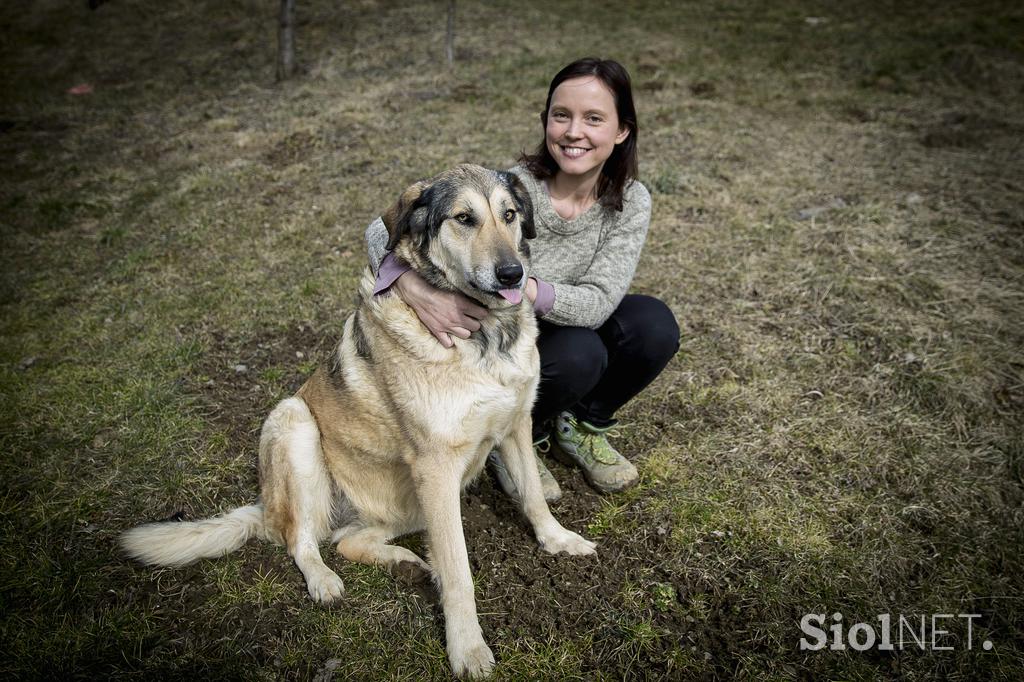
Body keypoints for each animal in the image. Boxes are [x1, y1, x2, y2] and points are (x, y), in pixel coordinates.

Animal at [120, 163, 598, 675]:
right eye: (464, 219)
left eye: (509, 215)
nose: (513, 273)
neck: (486, 336)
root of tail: (265, 507)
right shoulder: (436, 466)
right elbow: (459, 571)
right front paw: (467, 648)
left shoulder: (514, 427)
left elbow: (532, 496)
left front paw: (559, 540)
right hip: (295, 423)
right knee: (300, 539)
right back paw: (324, 580)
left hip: (410, 504)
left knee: (348, 540)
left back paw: (405, 562)